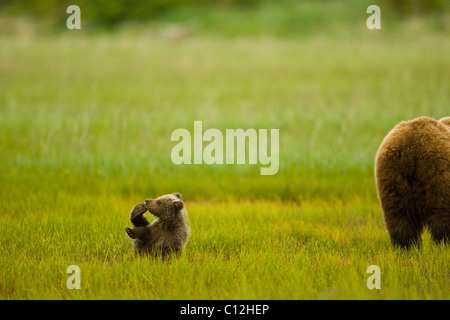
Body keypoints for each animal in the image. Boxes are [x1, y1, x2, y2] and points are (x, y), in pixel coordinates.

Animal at [374, 117, 450, 248]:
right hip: (437, 175)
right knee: (441, 216)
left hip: (392, 178)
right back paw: (443, 244)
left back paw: (407, 247)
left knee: (399, 220)